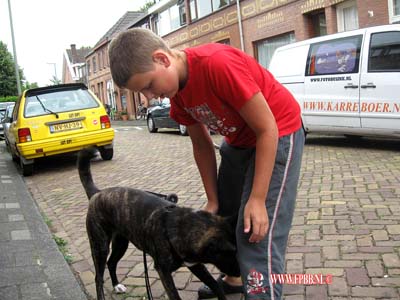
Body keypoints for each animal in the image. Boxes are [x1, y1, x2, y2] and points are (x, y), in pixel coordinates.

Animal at [78, 148, 241, 300]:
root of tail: (97, 193)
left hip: (121, 243)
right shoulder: (164, 271)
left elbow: (214, 285)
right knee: (98, 278)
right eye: (231, 254)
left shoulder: (195, 264)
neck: (180, 226)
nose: (240, 273)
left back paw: (116, 285)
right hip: (100, 246)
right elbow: (175, 296)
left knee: (111, 263)